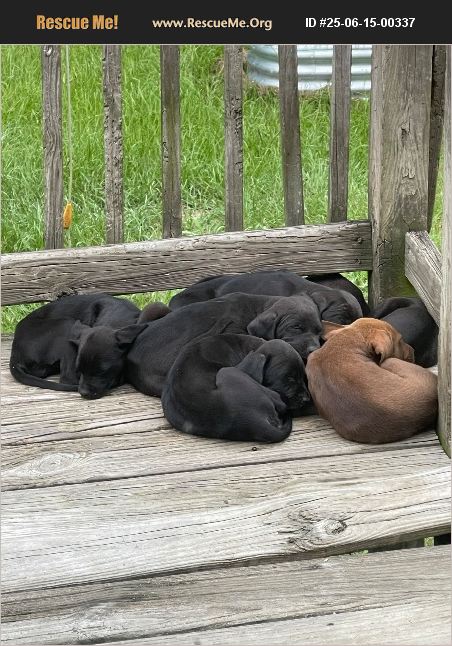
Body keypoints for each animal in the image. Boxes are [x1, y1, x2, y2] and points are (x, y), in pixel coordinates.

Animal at [10, 293, 144, 397]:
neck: (117, 314)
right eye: (80, 368)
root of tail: (14, 354)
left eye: (101, 371)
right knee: (67, 377)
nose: (83, 393)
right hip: (67, 324)